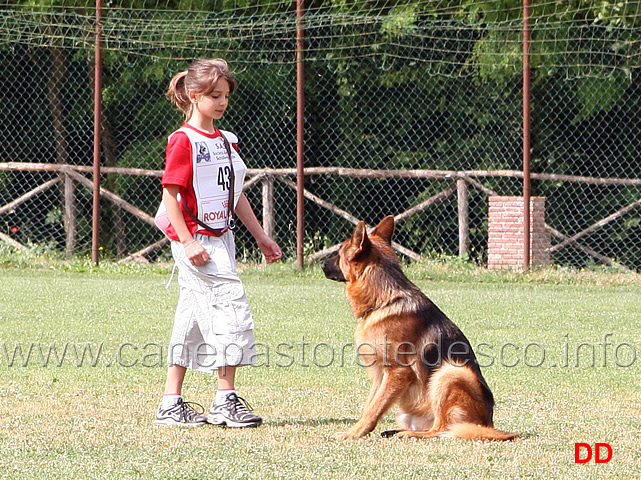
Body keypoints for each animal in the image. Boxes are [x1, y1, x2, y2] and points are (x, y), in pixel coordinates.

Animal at [320, 216, 516, 440]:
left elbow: (374, 408)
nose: (321, 264)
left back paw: (408, 433)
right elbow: (371, 404)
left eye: (339, 253)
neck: (385, 301)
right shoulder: (380, 375)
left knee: (440, 429)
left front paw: (353, 433)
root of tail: (486, 424)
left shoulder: (397, 372)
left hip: (451, 372)